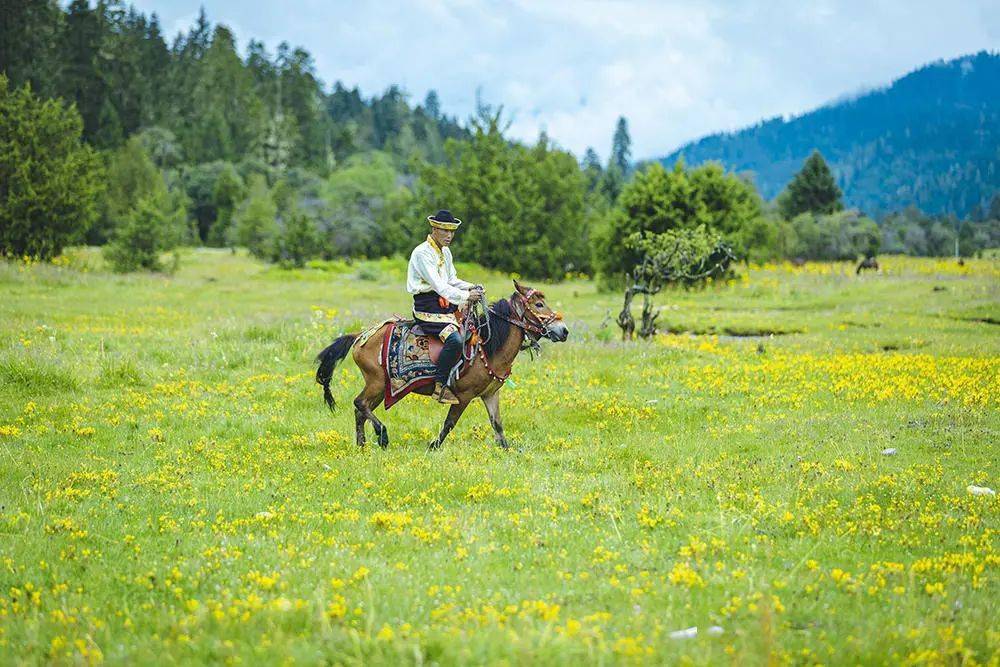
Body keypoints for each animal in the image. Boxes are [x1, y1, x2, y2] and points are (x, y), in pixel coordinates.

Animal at [316, 280, 568, 452]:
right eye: (539, 304)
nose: (563, 330)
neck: (487, 347)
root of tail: (360, 336)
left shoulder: (490, 394)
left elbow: (497, 425)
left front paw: (507, 450)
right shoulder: (463, 396)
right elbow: (449, 424)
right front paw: (433, 446)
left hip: (383, 387)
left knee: (361, 410)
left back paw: (363, 445)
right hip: (376, 382)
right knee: (359, 403)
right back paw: (382, 435)